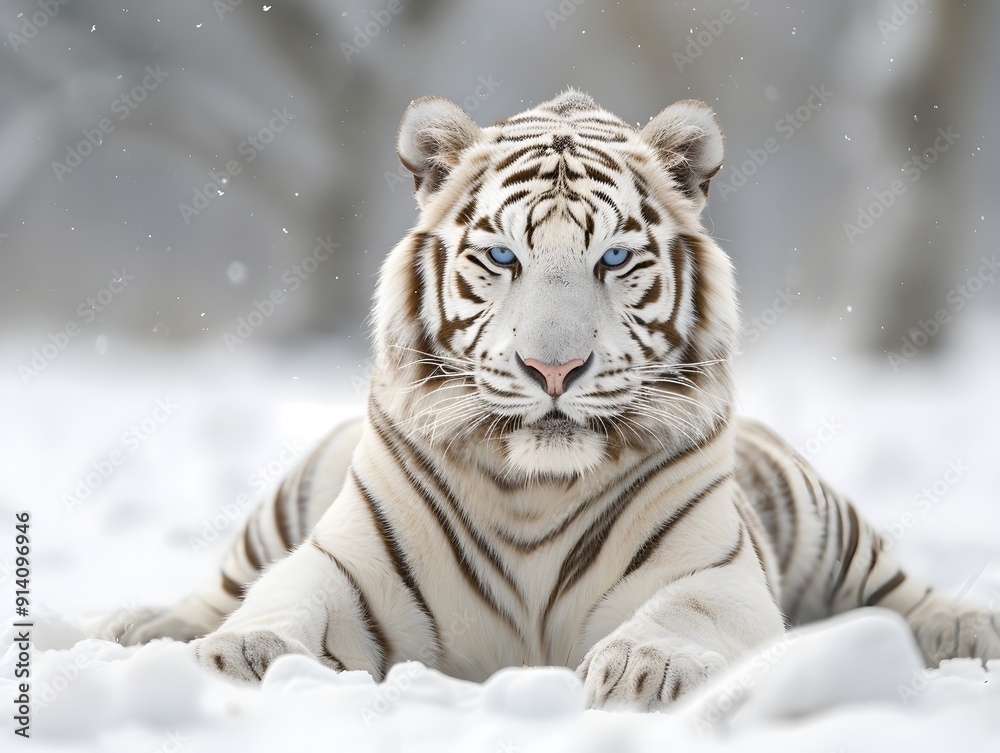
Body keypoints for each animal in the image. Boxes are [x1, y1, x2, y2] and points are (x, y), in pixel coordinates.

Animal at [97, 89, 1000, 711]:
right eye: (501, 256)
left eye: (614, 258)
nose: (554, 368)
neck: (533, 488)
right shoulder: (344, 560)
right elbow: (287, 595)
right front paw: (242, 656)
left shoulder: (718, 568)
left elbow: (683, 611)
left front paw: (644, 667)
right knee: (221, 585)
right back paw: (140, 626)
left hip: (820, 517)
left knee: (894, 588)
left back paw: (967, 628)